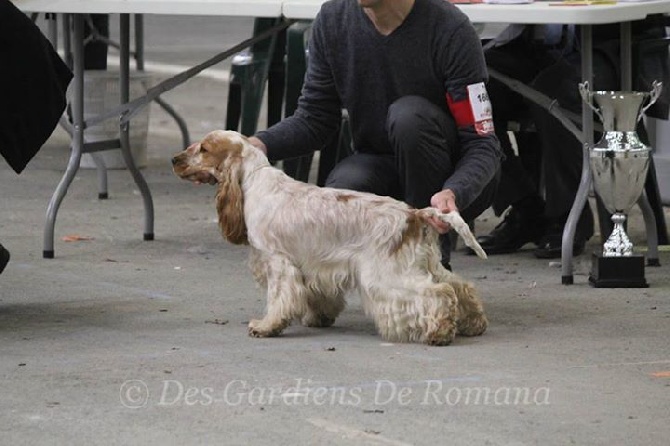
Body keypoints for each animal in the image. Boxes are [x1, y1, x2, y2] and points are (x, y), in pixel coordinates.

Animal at [173, 129, 488, 344]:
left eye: (203, 148)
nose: (175, 159)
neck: (253, 181)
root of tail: (415, 214)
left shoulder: (277, 261)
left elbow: (277, 299)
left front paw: (265, 326)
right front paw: (319, 318)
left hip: (386, 275)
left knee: (440, 293)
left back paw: (440, 332)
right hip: (425, 264)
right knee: (461, 286)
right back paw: (473, 324)